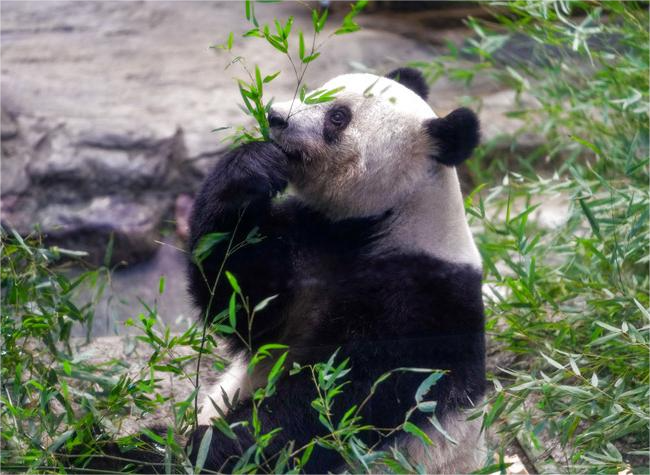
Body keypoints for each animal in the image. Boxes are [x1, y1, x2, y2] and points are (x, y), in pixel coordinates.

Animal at [186, 67, 486, 474]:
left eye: (338, 117)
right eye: (316, 90)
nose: (274, 117)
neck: (387, 220)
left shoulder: (424, 308)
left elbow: (334, 405)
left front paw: (206, 449)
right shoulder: (311, 241)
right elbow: (237, 300)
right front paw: (251, 168)